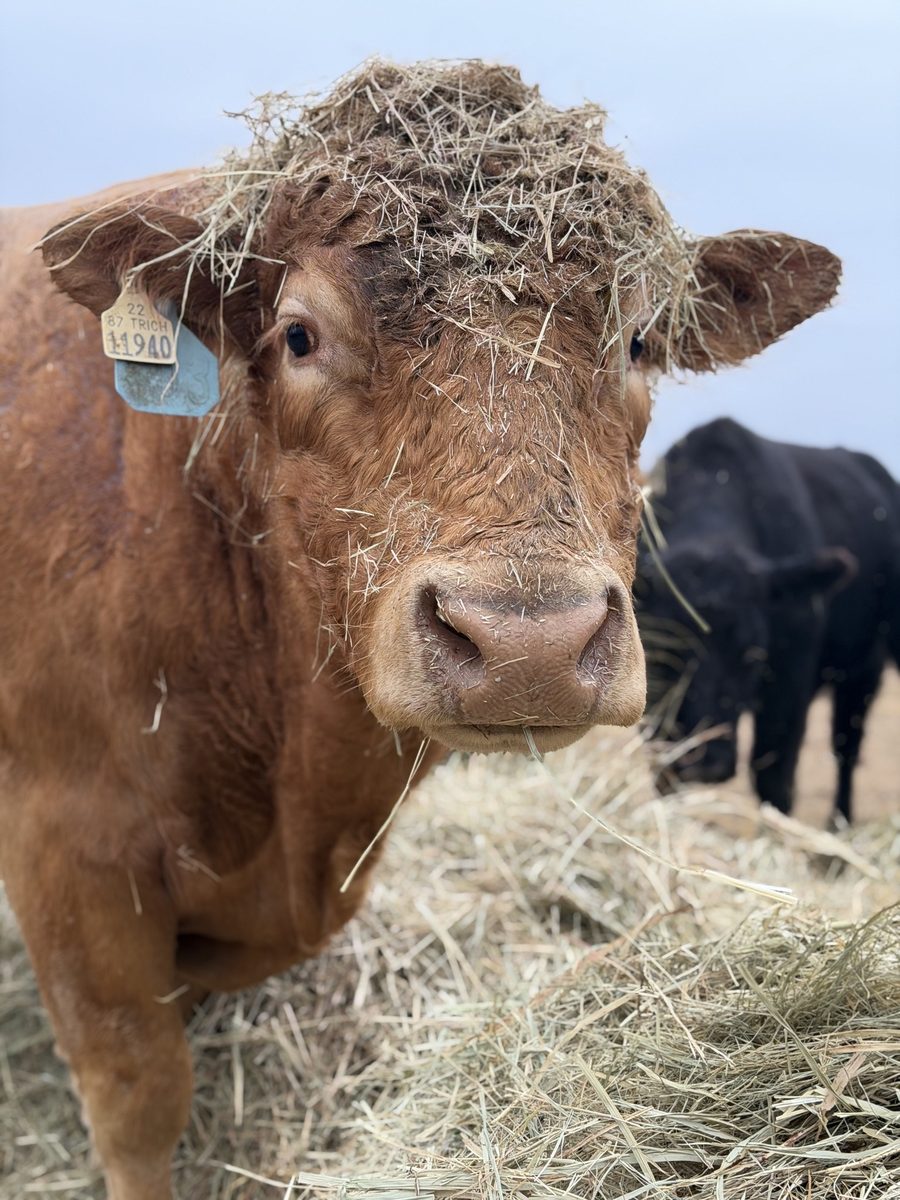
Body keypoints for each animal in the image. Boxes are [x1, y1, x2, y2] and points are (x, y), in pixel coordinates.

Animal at [636, 418, 899, 823]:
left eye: (752, 653)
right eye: (666, 652)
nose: (708, 765)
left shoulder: (788, 688)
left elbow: (774, 779)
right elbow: (664, 773)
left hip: (864, 668)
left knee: (846, 749)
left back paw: (838, 825)